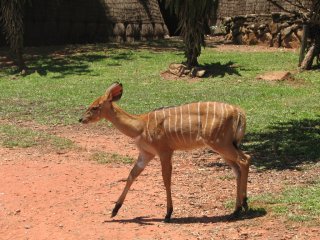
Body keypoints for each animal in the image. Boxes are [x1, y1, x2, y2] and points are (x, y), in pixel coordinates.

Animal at [79, 81, 250, 222]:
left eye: (95, 107)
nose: (81, 119)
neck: (140, 126)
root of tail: (239, 113)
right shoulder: (146, 153)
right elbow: (132, 174)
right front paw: (114, 210)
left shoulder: (164, 150)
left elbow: (166, 178)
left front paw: (168, 214)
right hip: (224, 146)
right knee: (237, 168)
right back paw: (236, 210)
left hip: (221, 143)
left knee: (245, 159)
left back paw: (245, 204)